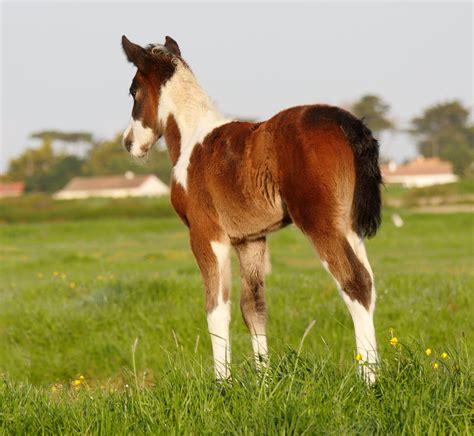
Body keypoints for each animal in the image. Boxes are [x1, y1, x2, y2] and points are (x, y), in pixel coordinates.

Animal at [120, 36, 384, 384]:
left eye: (133, 90)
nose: (129, 143)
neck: (192, 139)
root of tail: (347, 124)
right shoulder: (251, 239)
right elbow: (253, 307)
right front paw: (264, 380)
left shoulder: (206, 234)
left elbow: (216, 307)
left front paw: (222, 383)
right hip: (349, 224)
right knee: (369, 281)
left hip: (318, 221)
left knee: (355, 283)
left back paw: (368, 379)